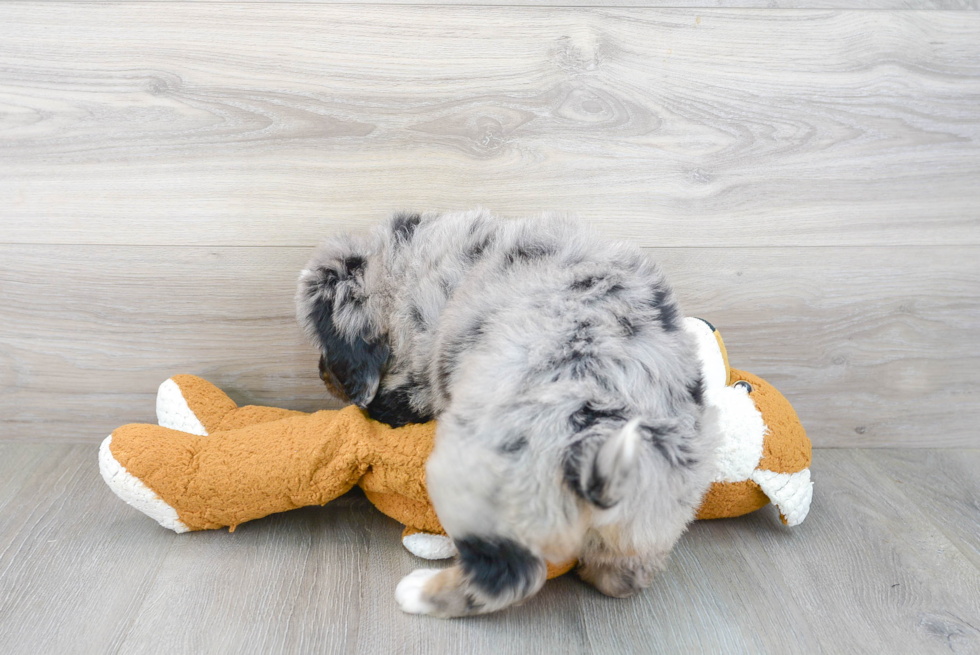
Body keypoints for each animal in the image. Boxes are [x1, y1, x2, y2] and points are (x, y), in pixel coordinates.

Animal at [294, 210, 716, 620]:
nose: (321, 373)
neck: (419, 265)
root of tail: (594, 446)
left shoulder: (419, 371)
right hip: (659, 516)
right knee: (624, 576)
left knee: (508, 576)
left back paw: (419, 591)